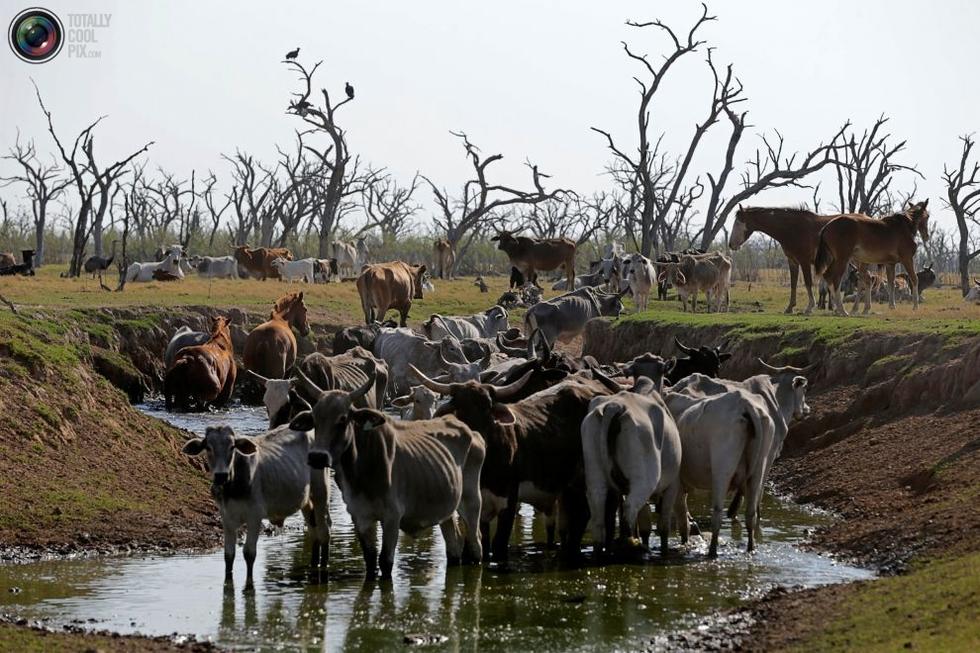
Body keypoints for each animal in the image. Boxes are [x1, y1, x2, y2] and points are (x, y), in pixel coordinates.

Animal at [182, 424, 330, 586]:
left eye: (232, 447)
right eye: (208, 447)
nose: (221, 475)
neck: (232, 489)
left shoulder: (254, 516)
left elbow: (249, 553)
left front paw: (249, 584)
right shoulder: (226, 517)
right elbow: (229, 554)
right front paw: (228, 581)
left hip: (321, 492)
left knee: (324, 531)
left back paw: (323, 568)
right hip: (306, 501)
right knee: (314, 532)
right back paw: (313, 565)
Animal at [290, 371, 485, 577]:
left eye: (342, 419)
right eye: (314, 419)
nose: (317, 457)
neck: (361, 472)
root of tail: (470, 431)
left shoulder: (392, 517)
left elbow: (385, 561)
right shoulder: (360, 517)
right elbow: (370, 560)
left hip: (471, 501)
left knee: (475, 543)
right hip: (446, 508)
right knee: (453, 544)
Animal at [581, 382, 682, 556]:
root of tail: (614, 406)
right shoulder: (672, 484)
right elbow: (663, 526)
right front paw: (664, 551)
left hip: (595, 475)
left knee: (598, 511)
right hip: (644, 479)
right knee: (630, 507)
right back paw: (632, 546)